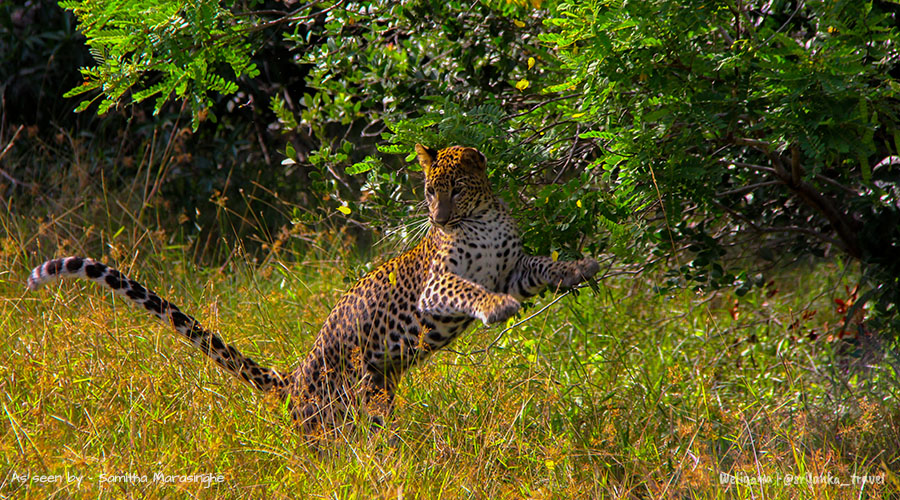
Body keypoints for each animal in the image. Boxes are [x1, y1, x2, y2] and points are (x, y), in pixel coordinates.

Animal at [28, 144, 600, 434]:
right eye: (428, 190)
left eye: (455, 188)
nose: (438, 217)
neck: (481, 216)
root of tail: (294, 376)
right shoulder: (438, 286)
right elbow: (470, 291)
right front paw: (496, 307)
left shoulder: (513, 267)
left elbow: (543, 266)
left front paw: (581, 267)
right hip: (338, 414)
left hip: (375, 394)